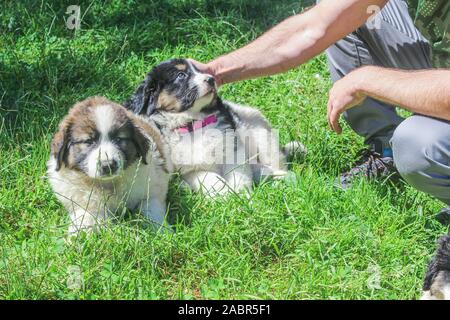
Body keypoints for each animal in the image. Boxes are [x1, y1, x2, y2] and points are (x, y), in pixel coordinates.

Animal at [47, 96, 173, 234]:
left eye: (118, 139)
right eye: (88, 141)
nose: (108, 165)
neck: (108, 183)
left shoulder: (151, 189)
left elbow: (151, 209)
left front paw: (162, 230)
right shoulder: (86, 203)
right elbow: (86, 218)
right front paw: (76, 236)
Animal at [124, 58, 302, 196]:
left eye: (200, 71)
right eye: (181, 75)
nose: (211, 79)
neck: (193, 124)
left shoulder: (233, 149)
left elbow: (239, 175)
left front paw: (242, 197)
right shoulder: (188, 170)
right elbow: (210, 179)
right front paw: (225, 195)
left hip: (262, 136)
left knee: (277, 163)